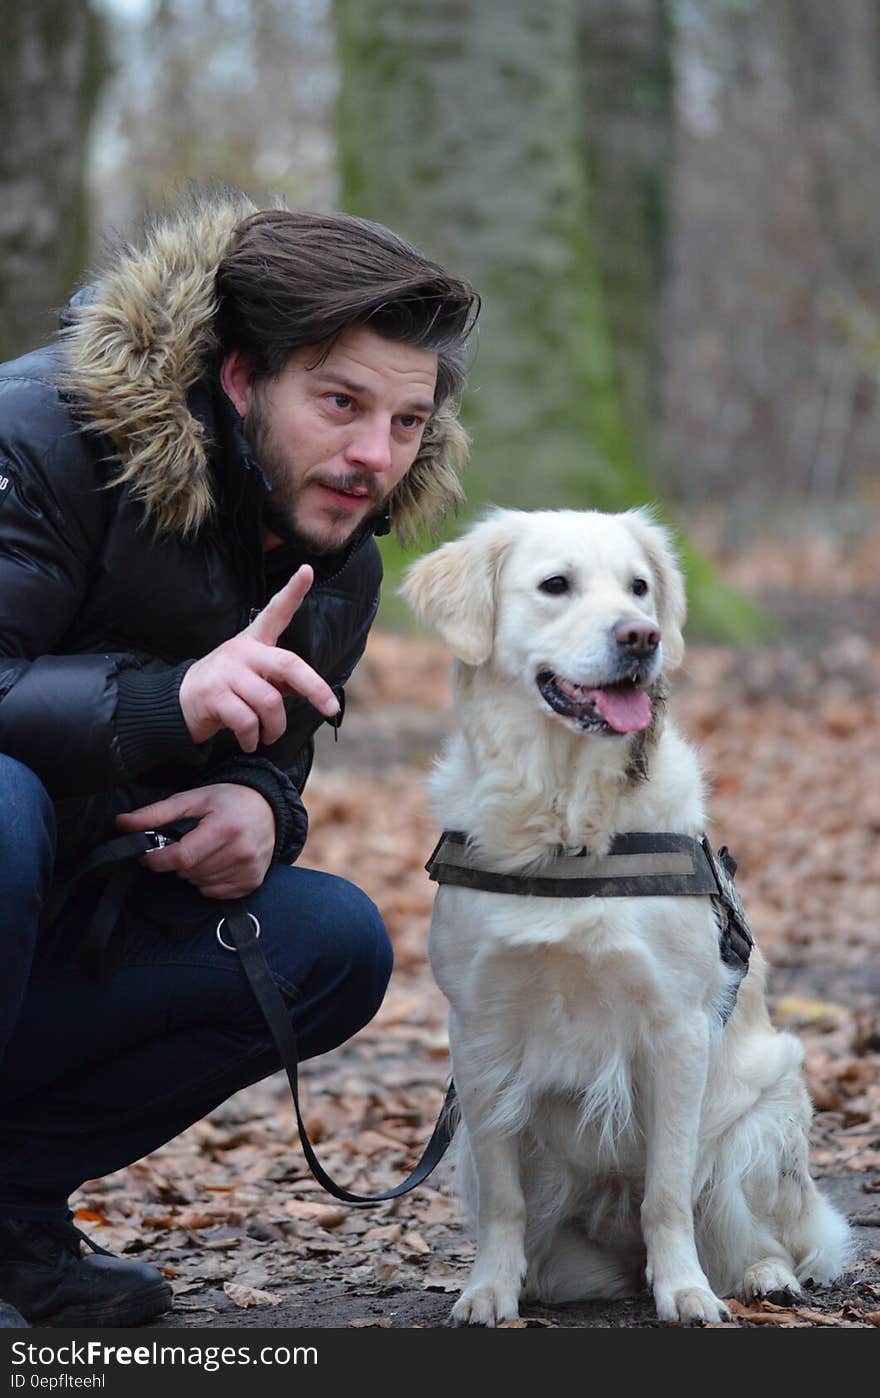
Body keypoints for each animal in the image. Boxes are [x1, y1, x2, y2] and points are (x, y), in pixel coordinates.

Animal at [402, 508, 845, 1325]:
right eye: (555, 585)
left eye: (639, 587)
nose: (643, 636)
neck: (568, 829)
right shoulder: (479, 1036)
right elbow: (506, 1202)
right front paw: (488, 1290)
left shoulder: (676, 1031)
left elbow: (667, 1192)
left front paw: (686, 1292)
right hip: (477, 1159)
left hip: (761, 1122)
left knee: (763, 1234)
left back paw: (763, 1276)